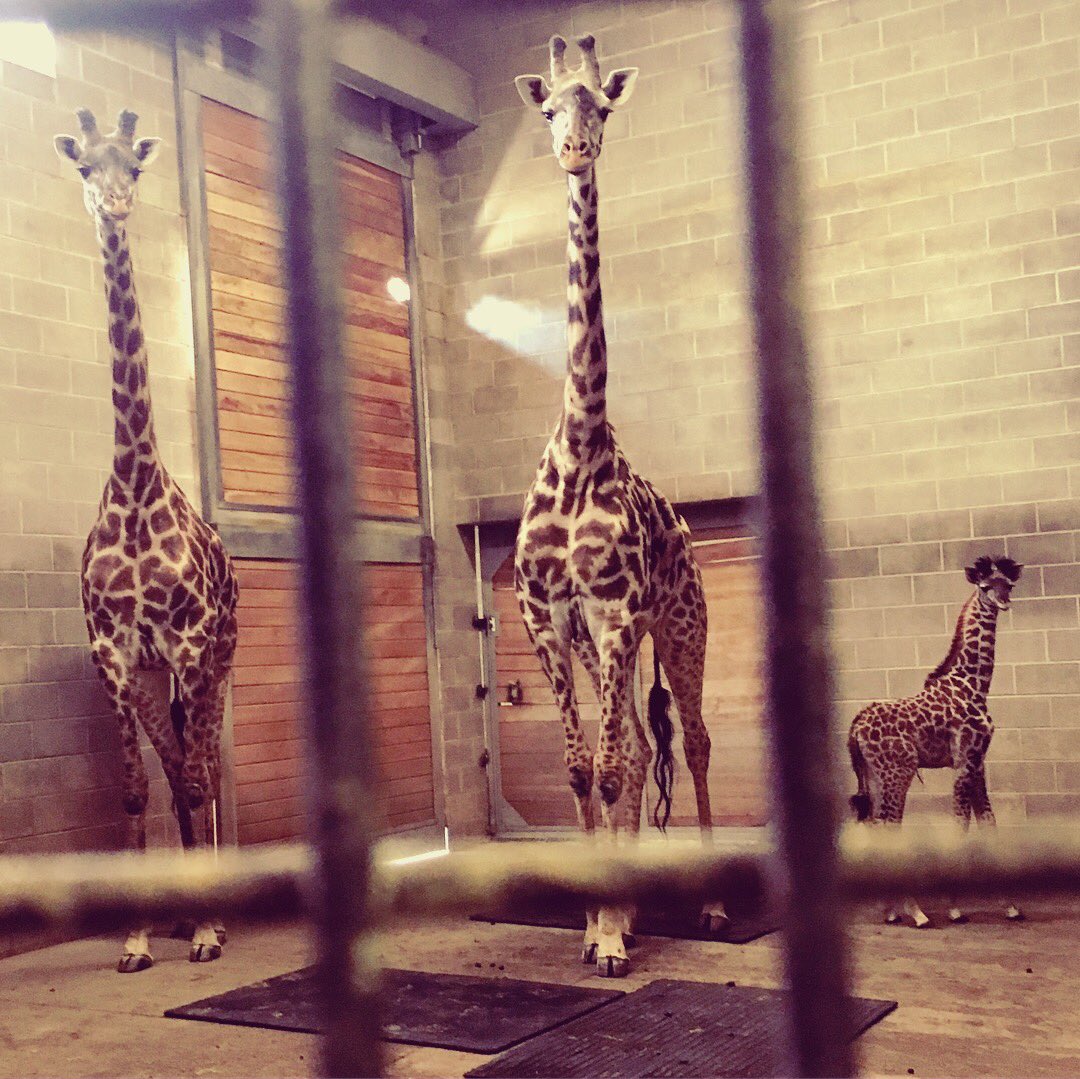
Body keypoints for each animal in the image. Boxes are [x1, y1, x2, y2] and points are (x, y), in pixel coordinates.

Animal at [848, 555, 1024, 927]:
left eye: (1008, 584)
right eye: (985, 586)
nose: (1003, 602)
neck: (974, 684)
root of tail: (855, 726)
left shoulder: (978, 760)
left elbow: (989, 823)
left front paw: (1012, 906)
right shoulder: (964, 760)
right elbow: (961, 826)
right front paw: (956, 908)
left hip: (873, 774)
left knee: (875, 823)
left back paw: (891, 910)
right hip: (898, 771)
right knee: (890, 826)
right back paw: (916, 912)